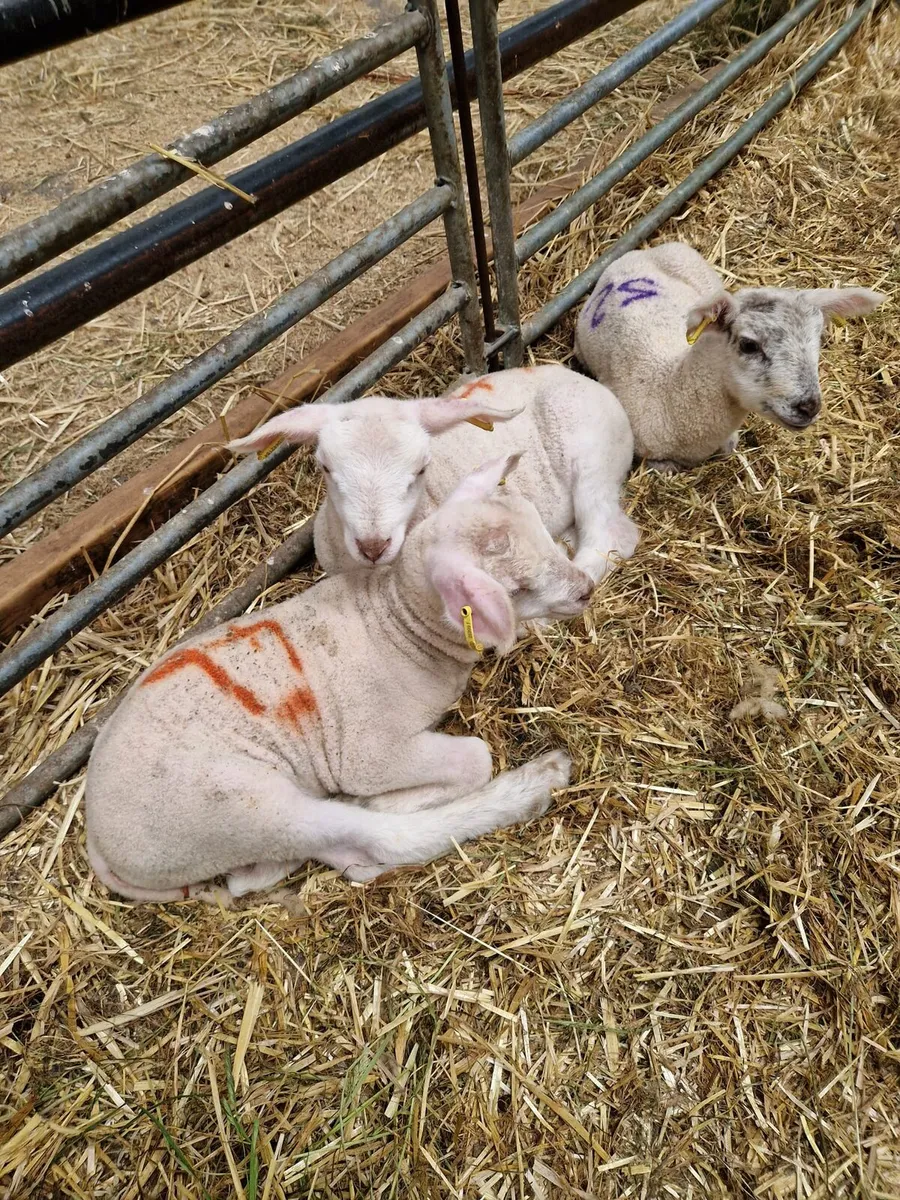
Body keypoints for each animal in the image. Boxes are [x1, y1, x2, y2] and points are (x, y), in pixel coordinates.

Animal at [85, 453, 592, 904]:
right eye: (518, 590)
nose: (587, 589)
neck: (400, 624)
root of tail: (97, 838)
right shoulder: (368, 752)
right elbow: (475, 757)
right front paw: (384, 798)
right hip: (235, 805)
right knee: (374, 843)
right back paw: (534, 783)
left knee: (260, 876)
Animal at [228, 364, 639, 588]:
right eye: (326, 467)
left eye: (422, 467)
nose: (373, 546)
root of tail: (584, 379)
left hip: (593, 458)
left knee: (610, 534)